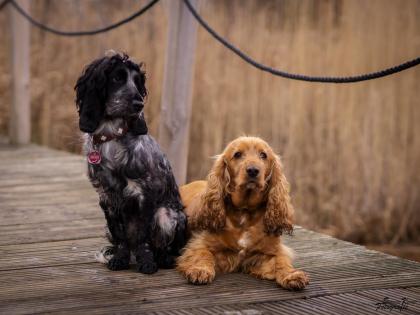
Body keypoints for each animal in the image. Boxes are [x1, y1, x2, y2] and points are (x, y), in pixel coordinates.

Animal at [75, 51, 185, 274]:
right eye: (117, 78)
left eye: (137, 82)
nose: (139, 104)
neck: (111, 136)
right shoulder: (107, 198)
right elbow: (121, 236)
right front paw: (119, 259)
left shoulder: (144, 194)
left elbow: (143, 235)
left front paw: (147, 263)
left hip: (166, 215)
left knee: (165, 247)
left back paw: (164, 259)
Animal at [177, 136, 308, 292]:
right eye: (237, 154)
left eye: (263, 155)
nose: (253, 170)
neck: (245, 211)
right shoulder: (201, 243)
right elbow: (203, 254)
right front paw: (200, 270)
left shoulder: (270, 251)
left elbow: (281, 261)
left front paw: (291, 275)